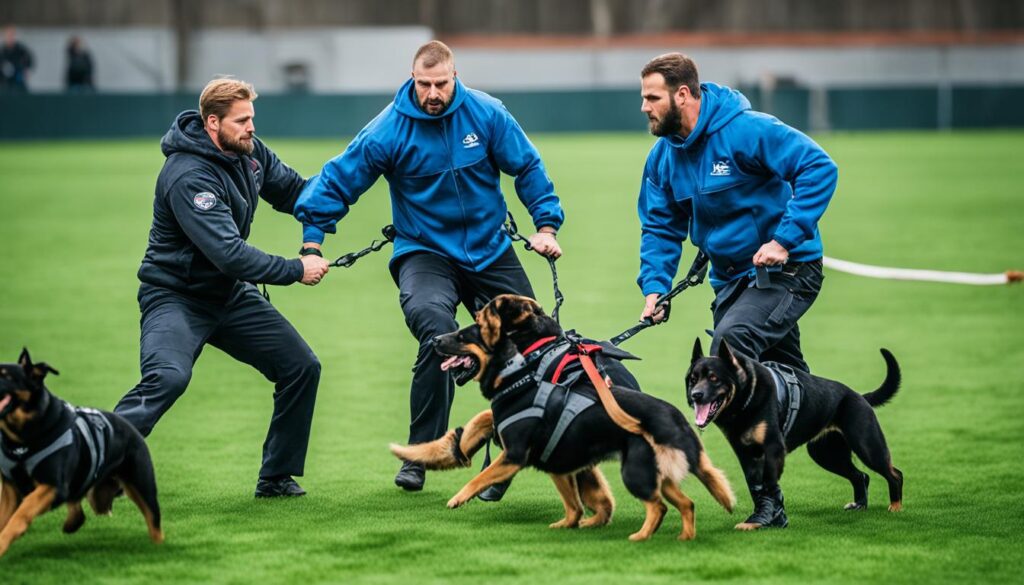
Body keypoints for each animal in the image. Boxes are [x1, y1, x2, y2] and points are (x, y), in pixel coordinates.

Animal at [0, 348, 161, 557]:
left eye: (6, 377)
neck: (21, 438)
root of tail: (130, 427)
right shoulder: (11, 489)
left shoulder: (52, 485)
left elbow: (23, 511)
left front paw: (5, 540)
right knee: (78, 507)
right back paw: (72, 523)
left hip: (141, 484)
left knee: (154, 520)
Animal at [391, 295, 737, 540]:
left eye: (467, 333)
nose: (434, 340)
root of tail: (675, 419)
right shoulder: (563, 455)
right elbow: (587, 494)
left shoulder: (524, 449)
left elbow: (482, 454)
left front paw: (456, 480)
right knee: (691, 492)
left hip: (637, 471)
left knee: (661, 504)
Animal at [688, 336, 905, 532]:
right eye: (693, 379)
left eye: (714, 378)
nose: (695, 395)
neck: (745, 401)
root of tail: (860, 396)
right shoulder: (746, 454)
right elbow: (756, 486)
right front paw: (763, 518)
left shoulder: (772, 448)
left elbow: (769, 485)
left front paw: (769, 519)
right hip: (826, 454)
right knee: (861, 476)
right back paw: (860, 504)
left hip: (867, 446)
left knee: (895, 474)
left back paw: (895, 507)